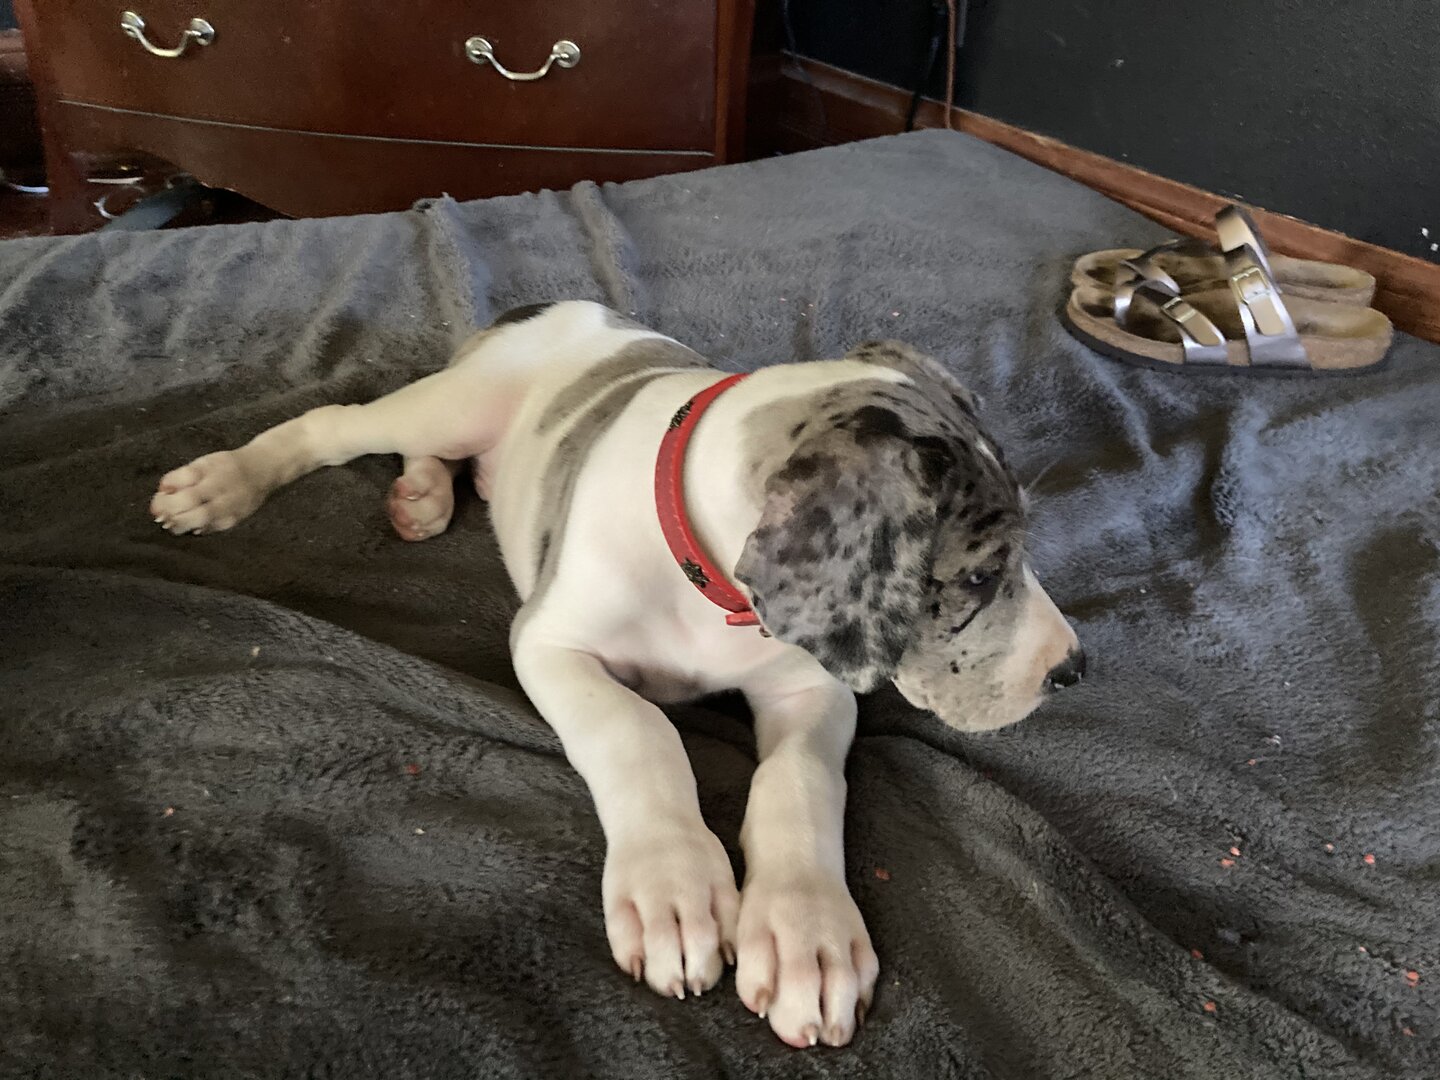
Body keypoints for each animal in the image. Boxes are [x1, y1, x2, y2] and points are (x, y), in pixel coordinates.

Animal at [149, 300, 1083, 1049]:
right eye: (976, 577)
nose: (1074, 668)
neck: (708, 591)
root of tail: (553, 306)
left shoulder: (811, 685)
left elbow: (798, 781)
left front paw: (805, 932)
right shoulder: (548, 644)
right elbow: (640, 731)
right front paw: (674, 885)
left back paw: (422, 498)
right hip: (453, 404)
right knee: (338, 423)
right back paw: (223, 483)